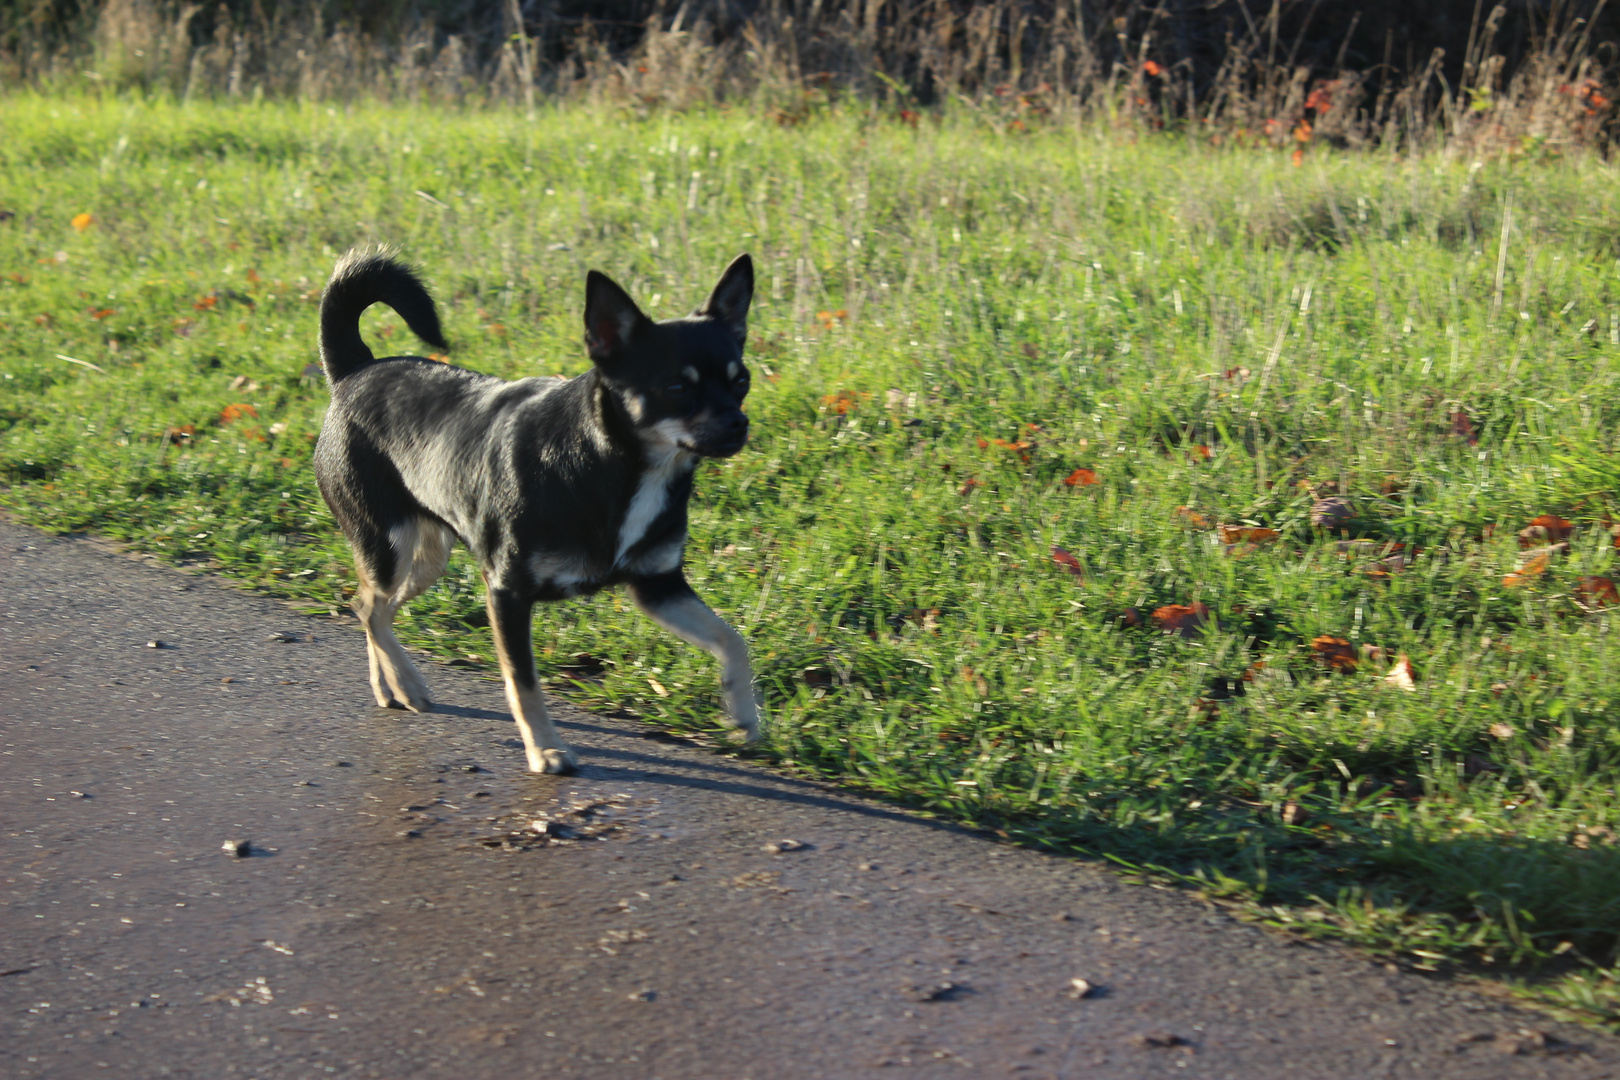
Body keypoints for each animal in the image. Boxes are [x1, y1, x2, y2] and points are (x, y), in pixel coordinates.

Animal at [312, 249, 761, 773]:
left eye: (741, 380)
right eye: (676, 387)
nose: (738, 423)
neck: (612, 463)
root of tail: (353, 372)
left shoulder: (658, 586)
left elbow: (732, 638)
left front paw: (743, 712)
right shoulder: (507, 593)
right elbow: (523, 682)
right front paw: (545, 748)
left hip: (426, 558)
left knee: (369, 607)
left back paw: (390, 684)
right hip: (390, 545)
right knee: (370, 607)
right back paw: (405, 682)